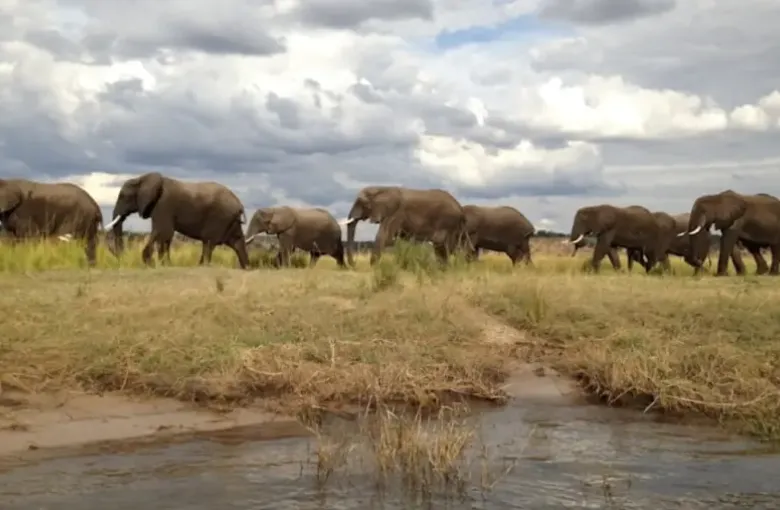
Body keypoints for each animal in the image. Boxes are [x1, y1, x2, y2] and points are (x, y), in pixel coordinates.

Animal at [106, 172, 249, 268]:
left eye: (123, 196)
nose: (122, 257)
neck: (142, 178)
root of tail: (239, 204)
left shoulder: (164, 205)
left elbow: (163, 231)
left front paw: (156, 263)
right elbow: (165, 235)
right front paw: (163, 264)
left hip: (220, 217)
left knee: (208, 242)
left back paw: (201, 266)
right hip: (230, 220)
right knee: (236, 242)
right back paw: (246, 267)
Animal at [341, 186, 470, 266]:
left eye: (360, 202)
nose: (354, 264)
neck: (383, 188)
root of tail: (460, 208)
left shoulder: (395, 213)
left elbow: (384, 237)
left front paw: (374, 267)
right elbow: (401, 239)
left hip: (448, 221)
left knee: (446, 246)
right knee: (445, 247)